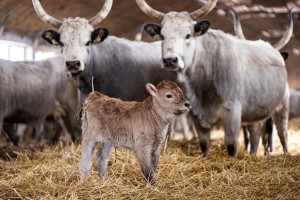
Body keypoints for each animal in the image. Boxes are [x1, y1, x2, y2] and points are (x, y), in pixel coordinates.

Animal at [138, 0, 290, 157]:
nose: (170, 60)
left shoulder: (232, 111)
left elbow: (231, 145)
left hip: (282, 107)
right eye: (162, 36)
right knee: (255, 134)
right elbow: (204, 144)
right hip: (254, 111)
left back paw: (285, 154)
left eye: (188, 35)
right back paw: (253, 154)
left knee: (282, 133)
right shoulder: (196, 113)